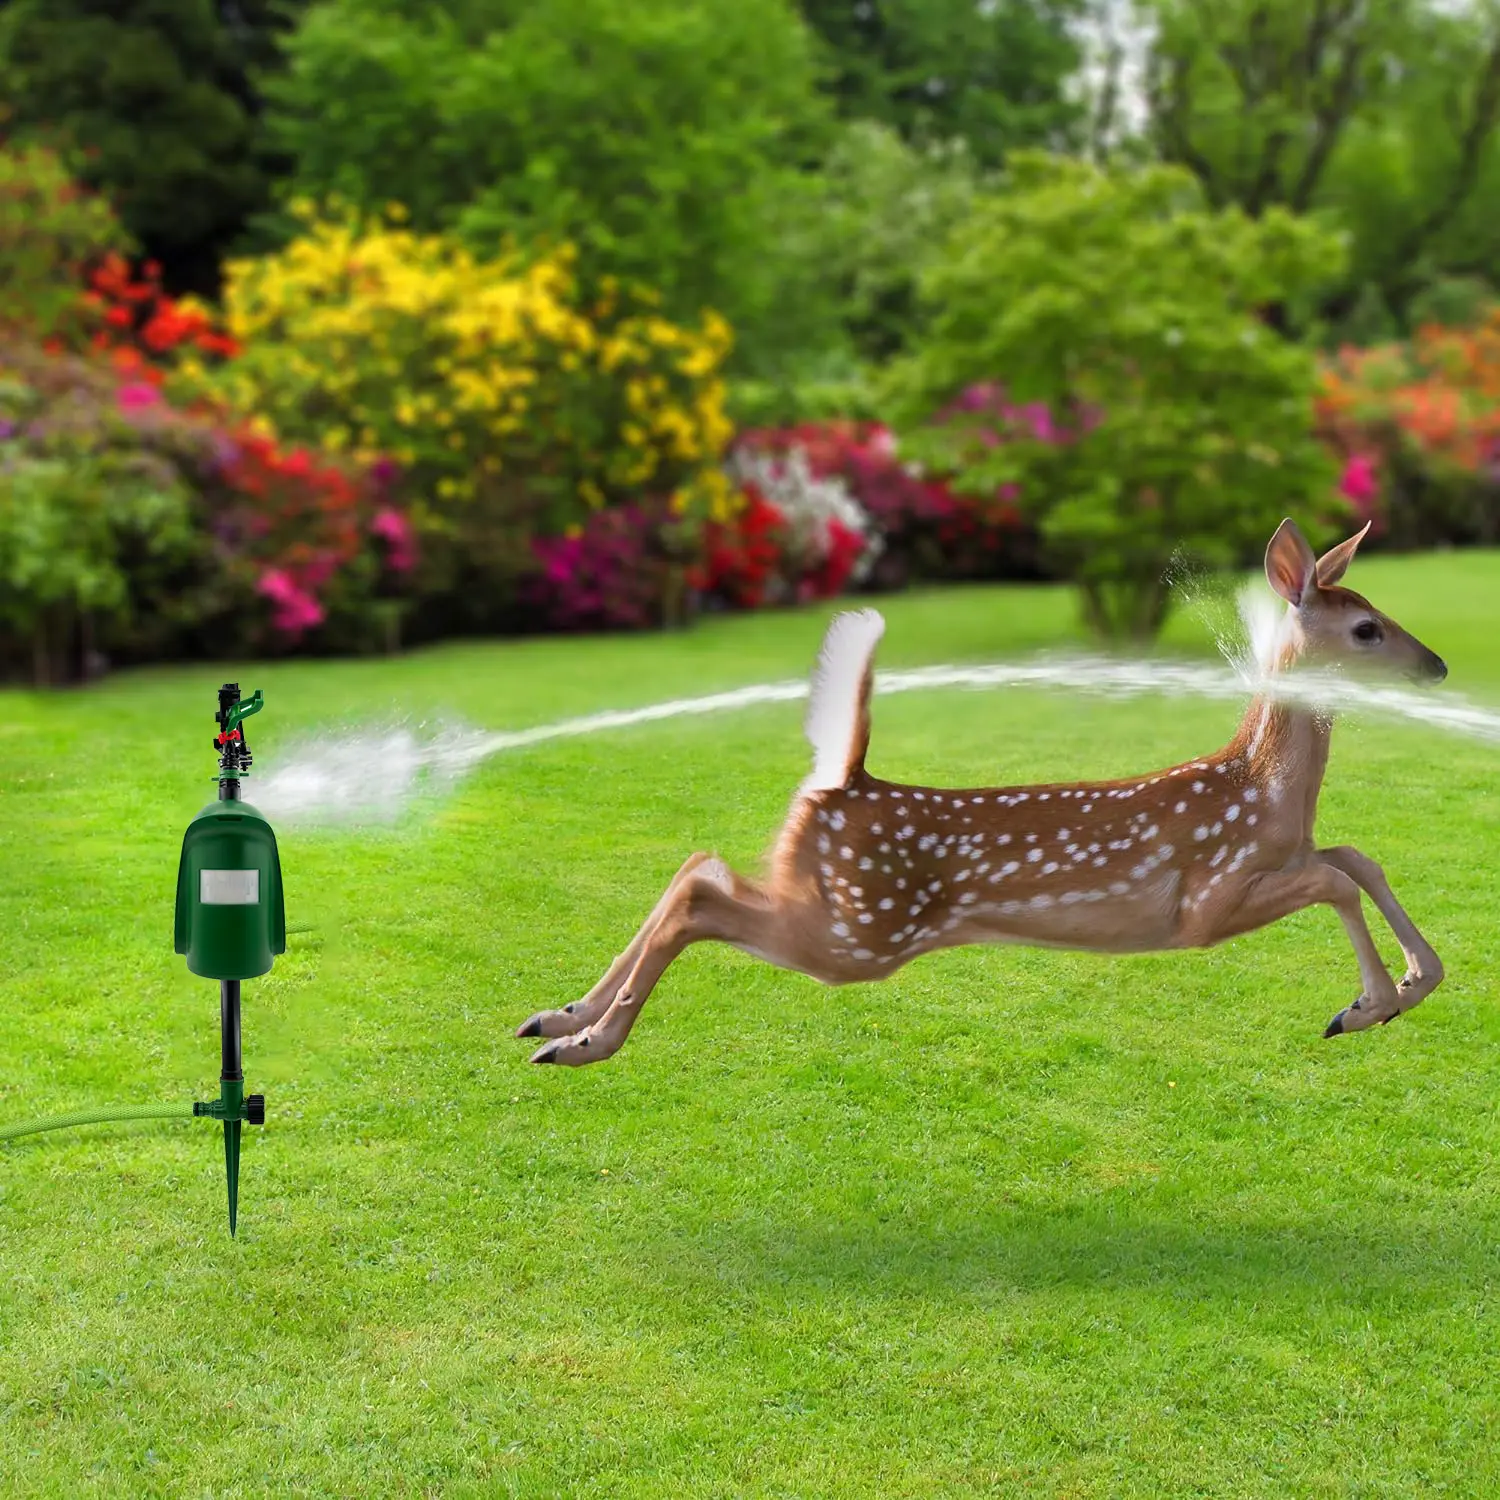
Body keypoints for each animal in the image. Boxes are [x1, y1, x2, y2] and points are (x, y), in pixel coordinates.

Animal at [516, 522, 1440, 1062]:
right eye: (1367, 629)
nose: (1435, 666)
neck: (1267, 791)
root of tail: (842, 780)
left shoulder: (1289, 852)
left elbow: (1356, 858)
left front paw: (1408, 985)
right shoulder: (1207, 901)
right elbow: (1335, 879)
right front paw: (1367, 1006)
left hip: (829, 906)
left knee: (696, 864)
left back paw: (558, 1016)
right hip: (859, 930)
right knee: (698, 898)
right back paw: (587, 1041)